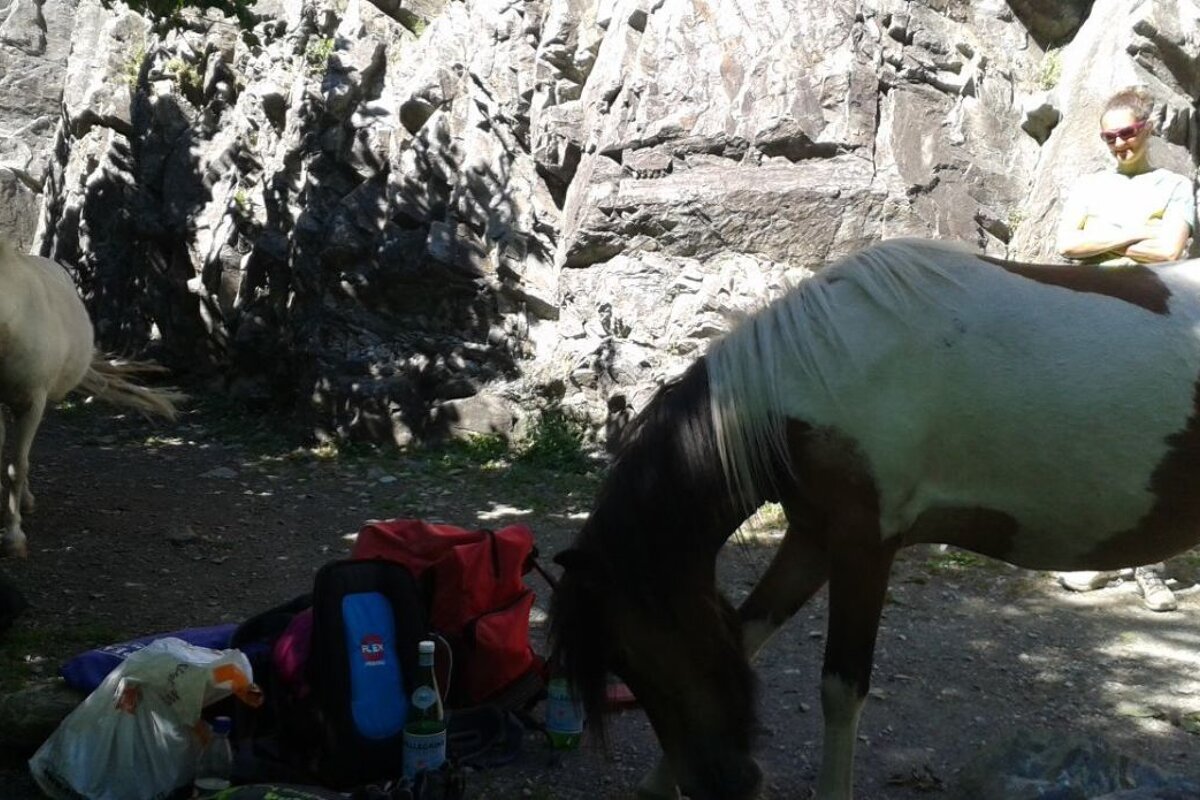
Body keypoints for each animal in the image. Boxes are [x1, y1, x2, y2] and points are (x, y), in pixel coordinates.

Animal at [549, 237, 1200, 800]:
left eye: (630, 654)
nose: (725, 783)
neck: (819, 372)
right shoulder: (812, 537)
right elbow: (747, 632)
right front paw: (657, 783)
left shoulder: (865, 547)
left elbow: (841, 687)